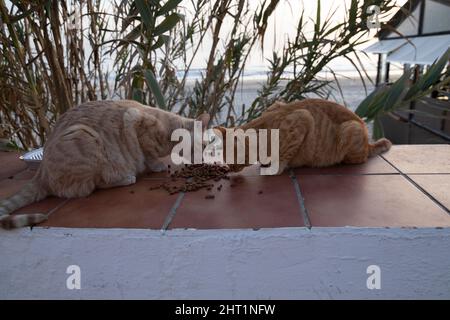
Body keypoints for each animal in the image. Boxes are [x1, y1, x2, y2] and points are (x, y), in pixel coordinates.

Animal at [0, 99, 209, 228]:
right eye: (203, 145)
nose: (203, 159)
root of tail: (41, 172)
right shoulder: (136, 123)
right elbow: (148, 154)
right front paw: (156, 165)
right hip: (85, 137)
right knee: (92, 187)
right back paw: (127, 177)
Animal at [214, 99, 390, 174]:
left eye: (233, 158)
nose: (231, 169)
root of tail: (368, 142)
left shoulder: (302, 119)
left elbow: (283, 155)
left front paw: (274, 168)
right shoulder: (277, 105)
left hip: (350, 129)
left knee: (360, 159)